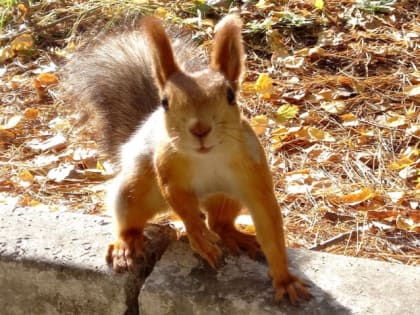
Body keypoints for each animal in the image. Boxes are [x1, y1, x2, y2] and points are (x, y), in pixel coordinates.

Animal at [64, 13, 310, 304]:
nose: (200, 129)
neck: (208, 156)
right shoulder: (168, 169)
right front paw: (199, 237)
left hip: (227, 196)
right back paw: (127, 244)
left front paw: (285, 280)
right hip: (135, 189)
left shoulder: (254, 175)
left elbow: (270, 224)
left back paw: (235, 236)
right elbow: (182, 204)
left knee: (218, 222)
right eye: (165, 102)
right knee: (131, 216)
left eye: (230, 95)